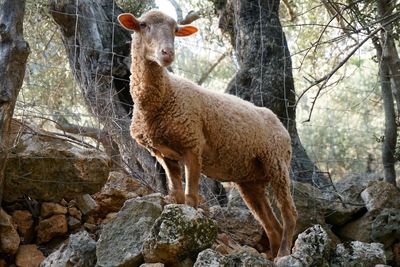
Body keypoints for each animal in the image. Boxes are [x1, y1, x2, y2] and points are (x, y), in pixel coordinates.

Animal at [117, 10, 296, 260]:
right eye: (142, 25)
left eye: (175, 30)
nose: (167, 54)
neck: (163, 96)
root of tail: (279, 123)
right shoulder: (165, 155)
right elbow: (177, 195)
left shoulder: (193, 145)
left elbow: (191, 198)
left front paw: (189, 237)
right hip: (250, 180)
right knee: (271, 225)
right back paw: (271, 254)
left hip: (276, 162)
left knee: (289, 212)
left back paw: (283, 253)